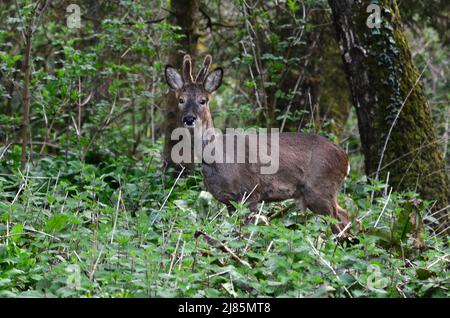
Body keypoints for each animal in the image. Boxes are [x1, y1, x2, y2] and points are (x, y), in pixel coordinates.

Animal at [165, 54, 356, 238]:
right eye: (181, 100)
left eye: (203, 100)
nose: (189, 118)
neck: (219, 160)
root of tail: (345, 159)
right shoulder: (229, 202)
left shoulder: (250, 192)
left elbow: (246, 232)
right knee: (346, 216)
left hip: (320, 189)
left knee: (340, 221)